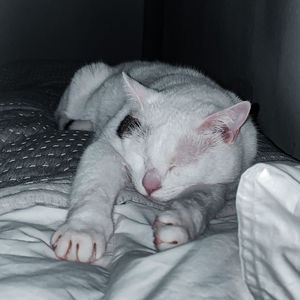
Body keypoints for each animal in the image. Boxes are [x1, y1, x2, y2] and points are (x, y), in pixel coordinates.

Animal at [50, 60, 256, 262]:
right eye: (143, 156)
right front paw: (82, 231)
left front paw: (180, 223)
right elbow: (94, 186)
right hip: (86, 78)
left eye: (176, 166)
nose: (149, 186)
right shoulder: (105, 146)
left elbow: (199, 200)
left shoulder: (221, 183)